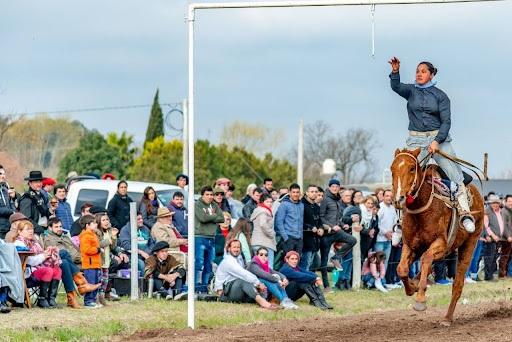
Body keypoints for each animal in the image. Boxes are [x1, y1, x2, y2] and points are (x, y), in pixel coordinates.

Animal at [392, 148, 484, 324]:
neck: (422, 210)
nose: (398, 198)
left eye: (412, 168)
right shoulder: (410, 245)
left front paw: (420, 299)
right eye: (392, 169)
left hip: (469, 243)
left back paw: (447, 318)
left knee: (457, 284)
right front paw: (411, 288)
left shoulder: (441, 243)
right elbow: (402, 269)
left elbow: (426, 259)